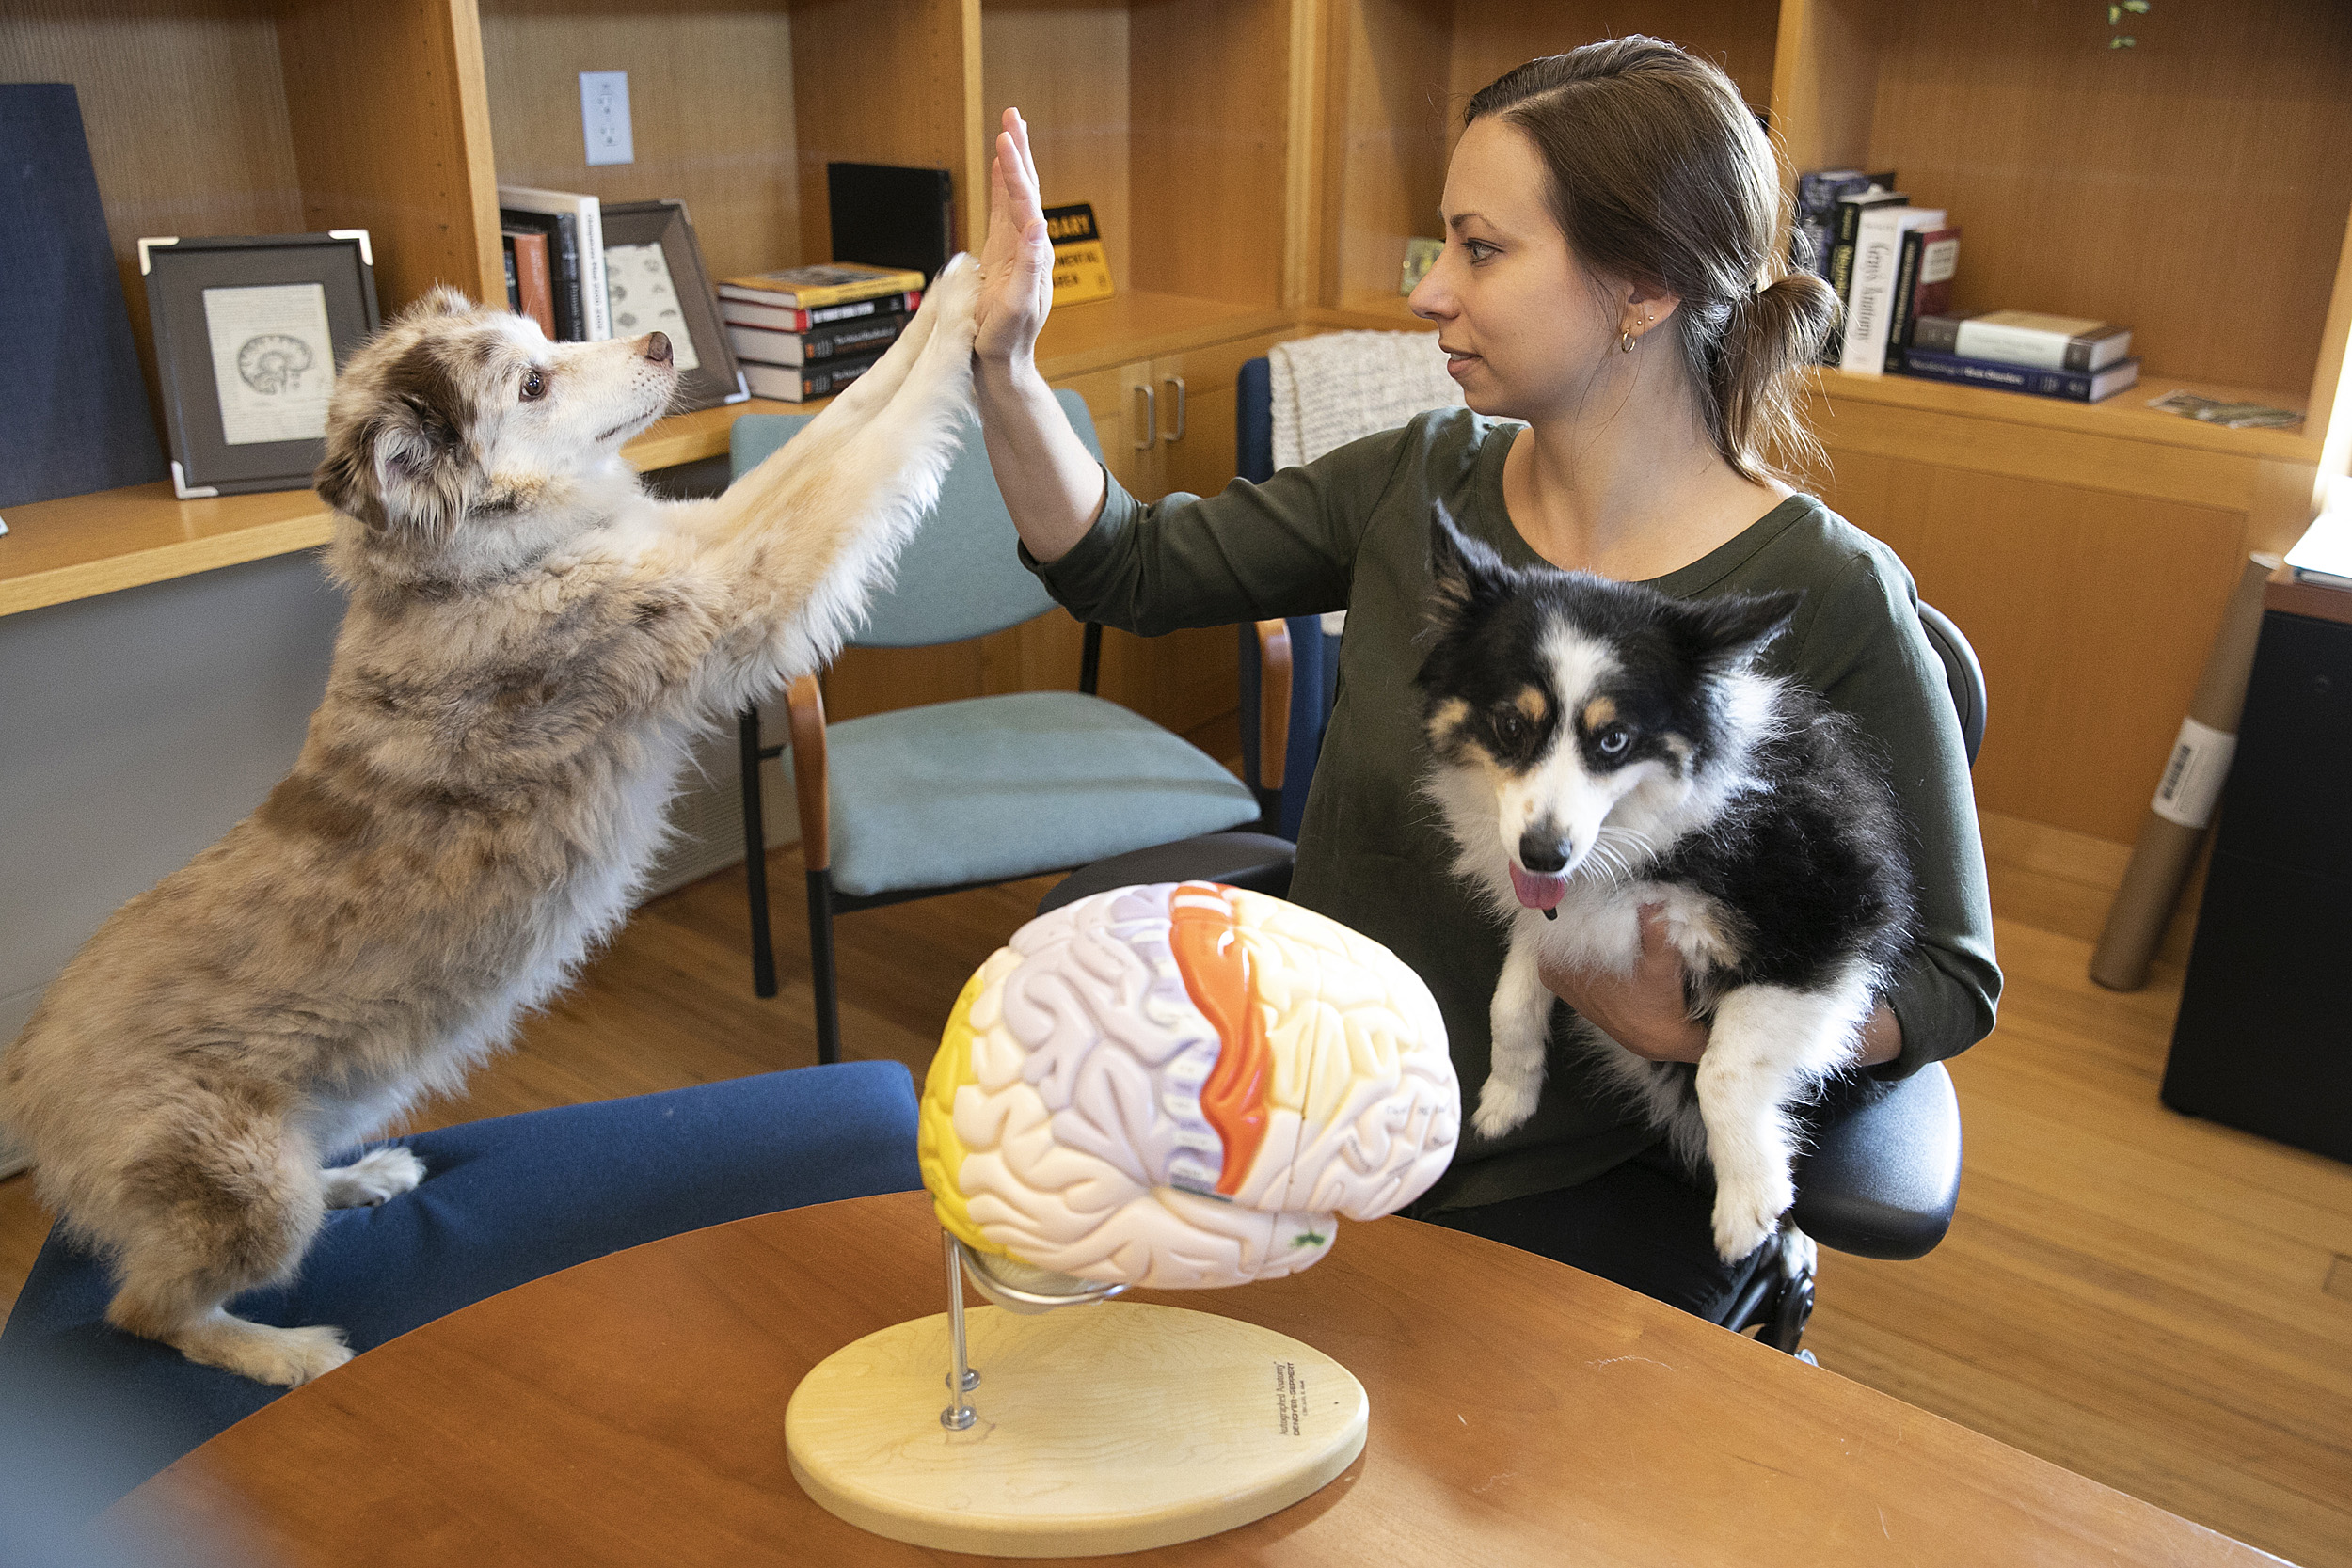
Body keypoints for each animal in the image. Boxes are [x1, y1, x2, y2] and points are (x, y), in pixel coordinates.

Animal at [1411, 516, 1910, 1259]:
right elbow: (1512, 1001)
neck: (1649, 830)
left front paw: (1747, 1203)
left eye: (1615, 739)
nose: (1544, 853)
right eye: (1510, 725)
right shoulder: (1563, 918)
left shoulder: (1827, 921)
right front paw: (1506, 1098)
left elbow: (1722, 1070)